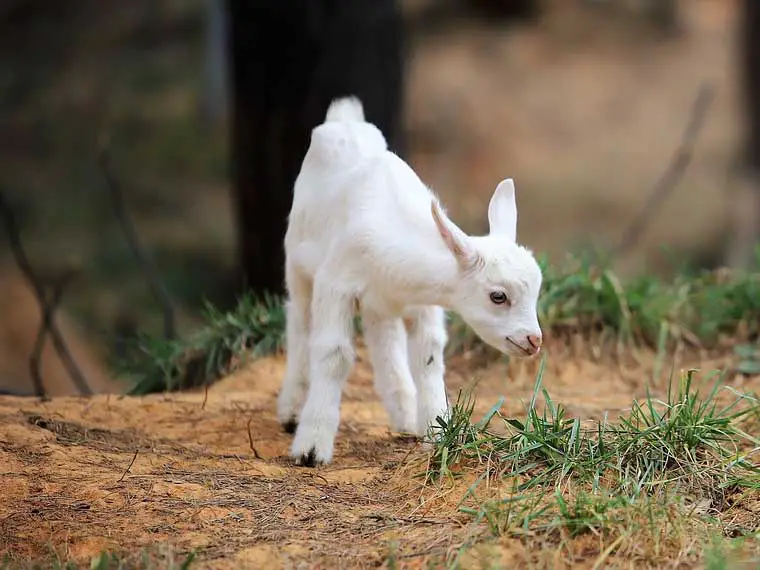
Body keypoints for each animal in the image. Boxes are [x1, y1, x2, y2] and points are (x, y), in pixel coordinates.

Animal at [276, 95, 544, 464]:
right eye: (498, 296)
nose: (534, 340)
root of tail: (343, 118)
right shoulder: (335, 284)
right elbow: (334, 354)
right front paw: (312, 446)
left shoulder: (423, 301)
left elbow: (428, 356)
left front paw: (438, 434)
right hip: (298, 261)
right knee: (300, 324)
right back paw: (291, 410)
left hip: (378, 303)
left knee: (384, 337)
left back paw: (403, 414)